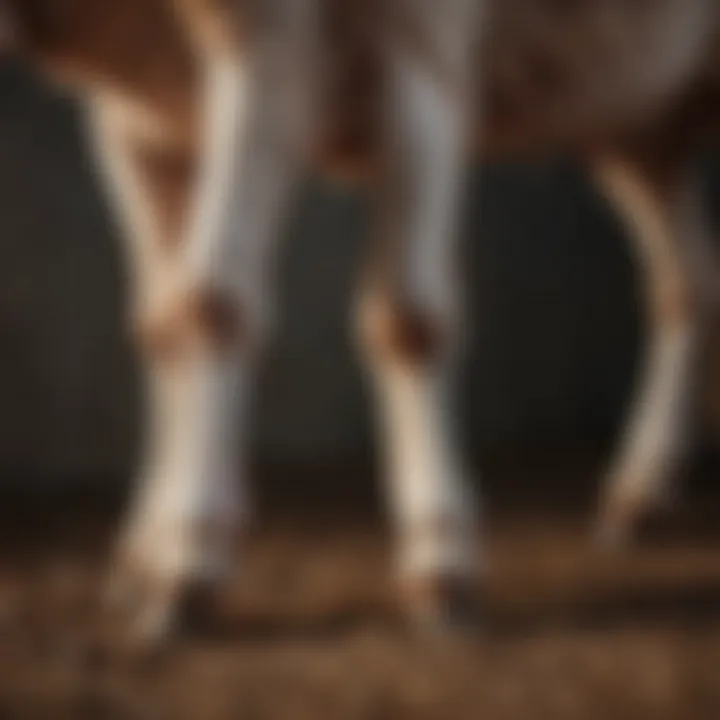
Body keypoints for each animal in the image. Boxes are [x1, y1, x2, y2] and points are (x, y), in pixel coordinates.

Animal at [1, 0, 720, 640]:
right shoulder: (136, 116)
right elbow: (165, 322)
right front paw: (150, 554)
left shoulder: (402, 55)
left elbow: (393, 316)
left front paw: (438, 557)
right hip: (643, 125)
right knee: (688, 283)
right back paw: (641, 492)